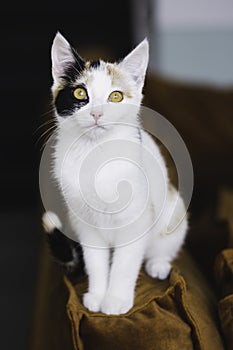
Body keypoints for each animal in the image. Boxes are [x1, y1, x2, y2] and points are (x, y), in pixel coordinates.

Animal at [41, 32, 187, 316]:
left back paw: (158, 263)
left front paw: (116, 300)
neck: (95, 152)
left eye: (116, 96)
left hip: (174, 207)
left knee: (164, 243)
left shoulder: (137, 220)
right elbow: (96, 261)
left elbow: (124, 264)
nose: (97, 113)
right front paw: (98, 295)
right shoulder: (85, 224)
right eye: (80, 92)